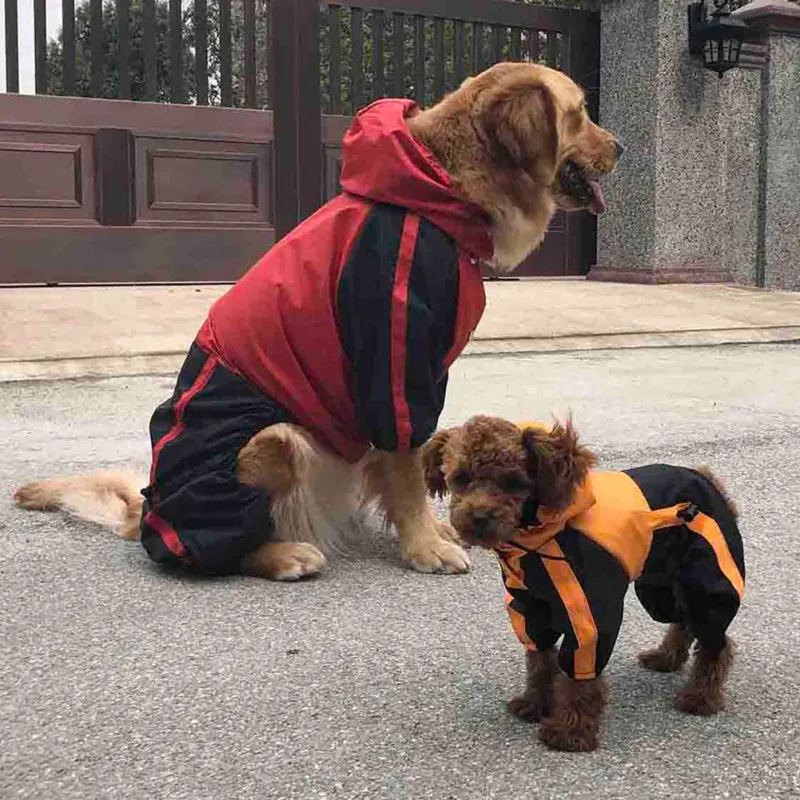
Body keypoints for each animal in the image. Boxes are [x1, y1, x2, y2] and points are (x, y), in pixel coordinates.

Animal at [15, 65, 620, 580]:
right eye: (579, 111)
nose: (622, 145)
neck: (435, 190)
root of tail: (145, 511)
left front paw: (434, 527)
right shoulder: (395, 366)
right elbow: (407, 467)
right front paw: (425, 545)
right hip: (276, 441)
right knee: (214, 551)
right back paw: (285, 554)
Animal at [424, 416, 744, 752]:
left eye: (512, 481)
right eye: (460, 478)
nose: (479, 517)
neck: (541, 538)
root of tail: (705, 479)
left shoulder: (590, 615)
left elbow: (580, 674)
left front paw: (571, 730)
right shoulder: (529, 608)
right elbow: (540, 661)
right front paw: (536, 703)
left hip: (705, 580)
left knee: (716, 641)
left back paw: (702, 696)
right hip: (658, 587)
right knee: (682, 621)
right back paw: (666, 658)